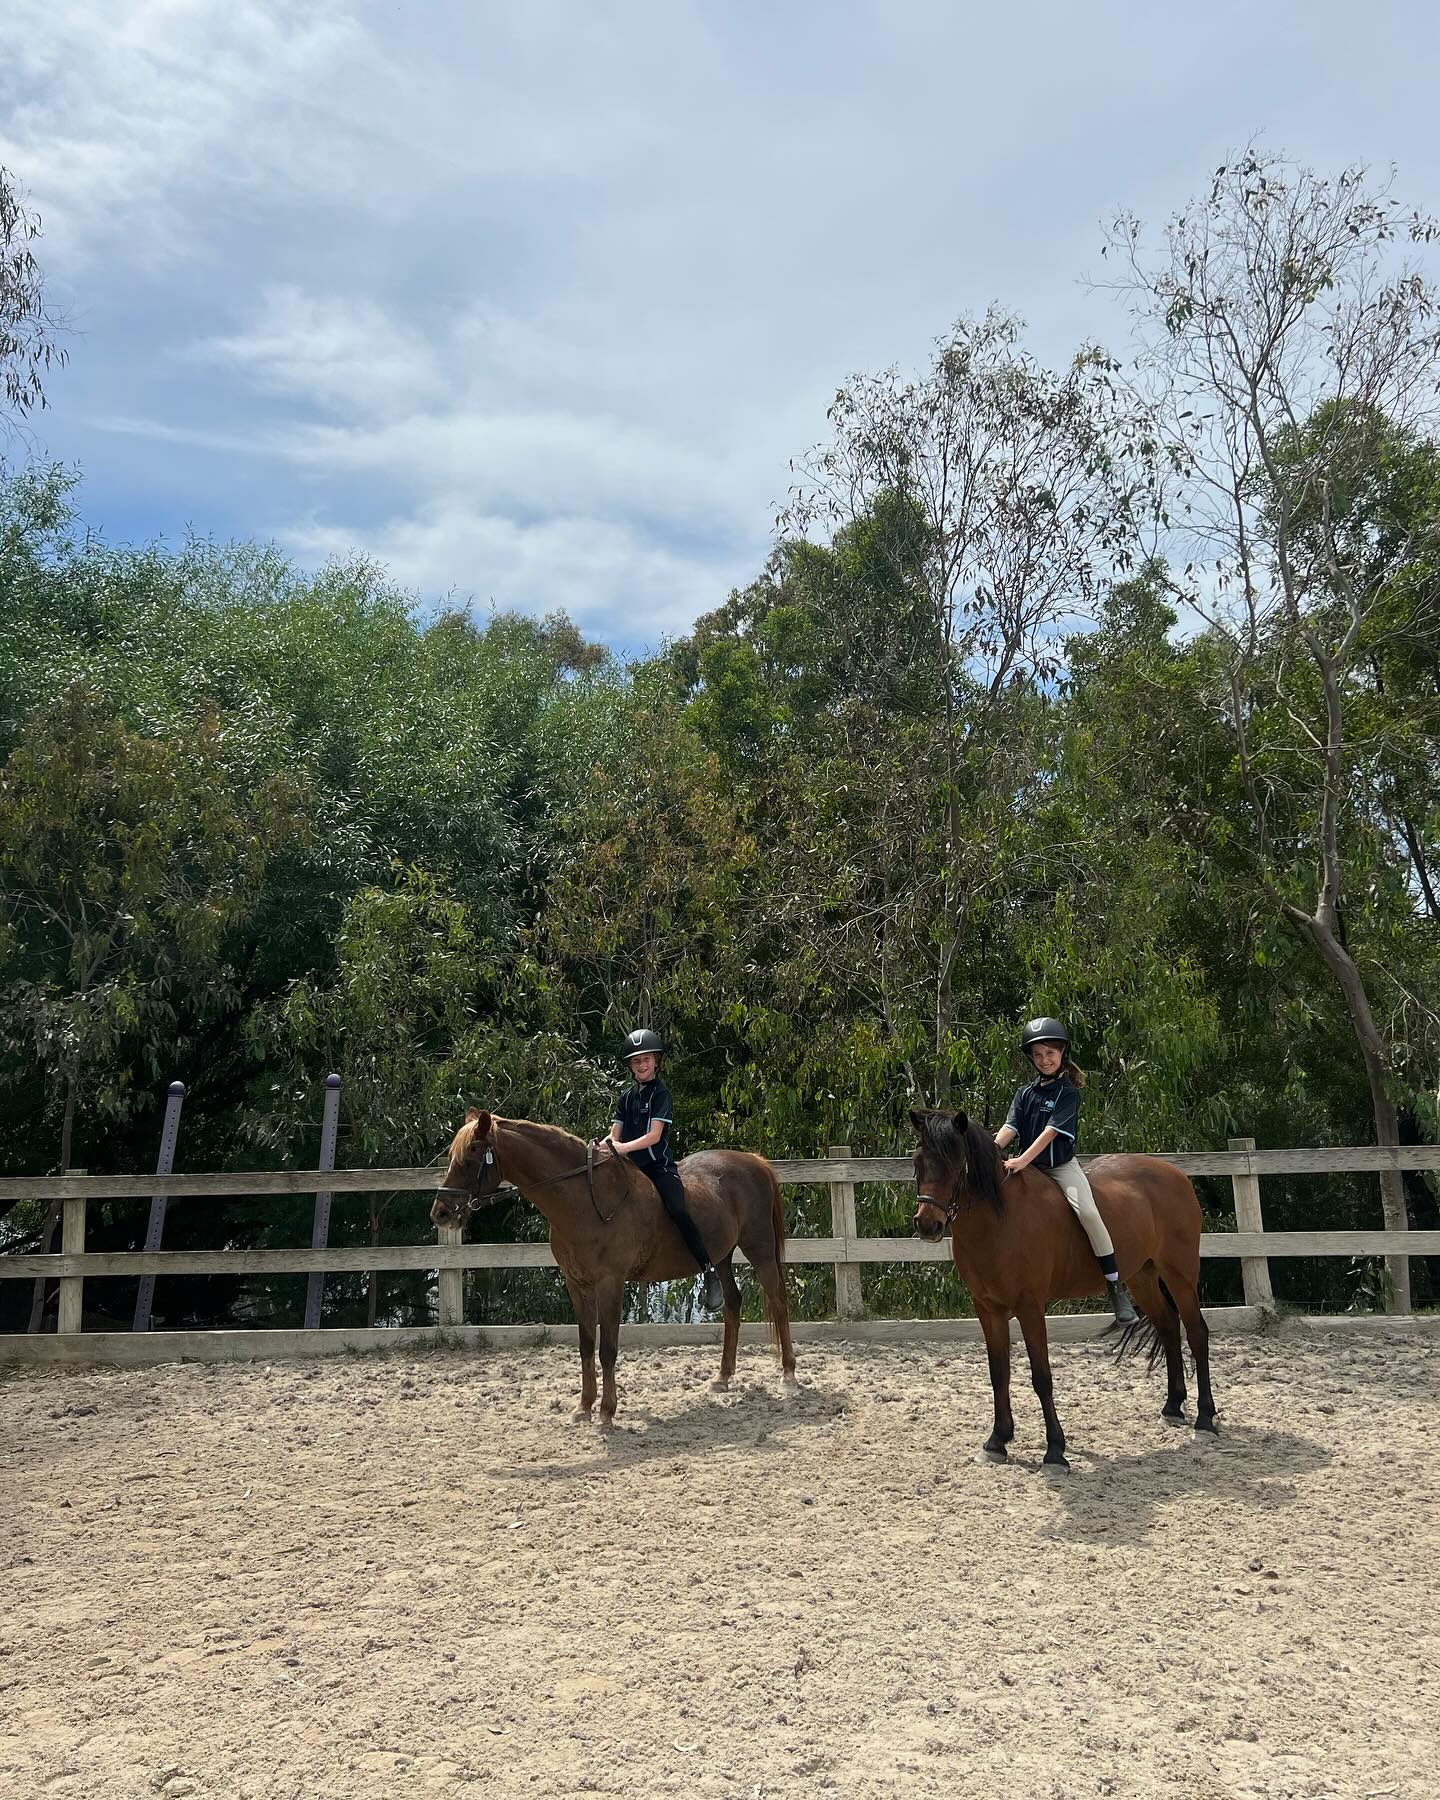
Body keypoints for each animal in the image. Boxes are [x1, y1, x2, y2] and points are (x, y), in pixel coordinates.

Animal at [430, 1110, 798, 1425]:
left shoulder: (610, 1283)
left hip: (759, 1249)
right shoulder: (576, 1284)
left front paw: (607, 1411)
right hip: (721, 1256)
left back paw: (789, 1375)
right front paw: (583, 1407)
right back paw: (722, 1378)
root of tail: (753, 1160)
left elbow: (607, 1348)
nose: (441, 1213)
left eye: (473, 1151)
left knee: (778, 1302)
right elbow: (585, 1345)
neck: (583, 1200)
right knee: (733, 1303)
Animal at [909, 1107, 1217, 1468]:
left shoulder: (1029, 1307)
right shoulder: (987, 1308)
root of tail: (1176, 1174)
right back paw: (1172, 1407)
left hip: (1179, 1273)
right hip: (1142, 1277)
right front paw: (997, 1441)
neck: (999, 1219)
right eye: (918, 1162)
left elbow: (1041, 1376)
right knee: (1168, 1326)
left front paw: (1055, 1450)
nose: (928, 1225)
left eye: (957, 1165)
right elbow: (998, 1373)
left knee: (1196, 1332)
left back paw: (1205, 1419)